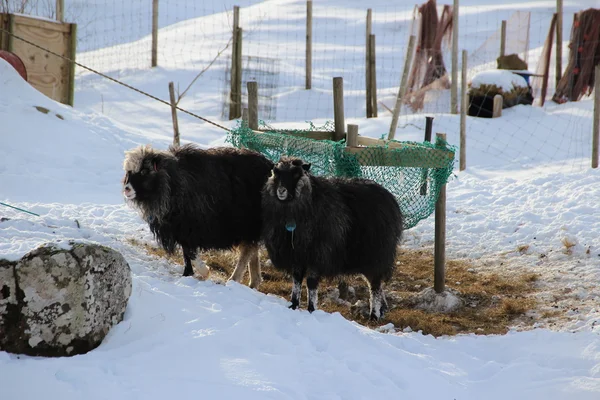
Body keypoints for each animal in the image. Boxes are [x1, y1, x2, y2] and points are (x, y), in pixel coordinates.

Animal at [123, 141, 274, 288]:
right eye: (129, 172)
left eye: (144, 171)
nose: (126, 189)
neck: (172, 182)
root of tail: (270, 166)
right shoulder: (179, 229)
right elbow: (186, 253)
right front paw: (187, 274)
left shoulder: (189, 227)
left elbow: (190, 252)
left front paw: (204, 271)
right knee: (252, 250)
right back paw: (253, 282)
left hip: (248, 224)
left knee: (247, 251)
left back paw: (234, 279)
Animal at [262, 155, 404, 318]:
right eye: (276, 172)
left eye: (296, 174)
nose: (281, 191)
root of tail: (390, 198)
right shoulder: (297, 255)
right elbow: (296, 280)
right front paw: (293, 305)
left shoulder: (318, 253)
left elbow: (311, 282)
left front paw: (311, 309)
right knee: (377, 285)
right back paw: (382, 310)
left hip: (376, 255)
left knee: (374, 285)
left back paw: (374, 315)